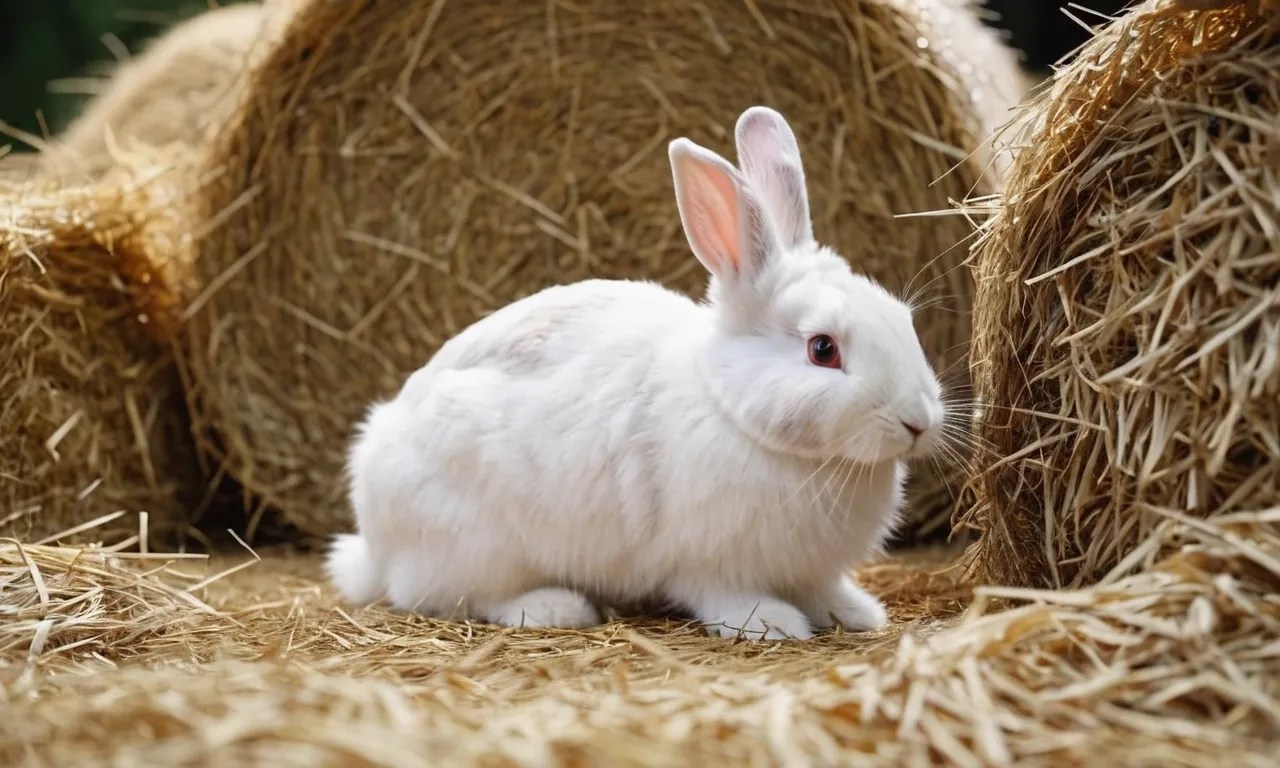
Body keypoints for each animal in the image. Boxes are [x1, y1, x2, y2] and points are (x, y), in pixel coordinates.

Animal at [325, 106, 946, 641]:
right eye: (822, 349)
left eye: (902, 318)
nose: (918, 422)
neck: (735, 413)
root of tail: (375, 544)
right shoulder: (707, 560)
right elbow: (722, 595)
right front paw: (772, 624)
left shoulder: (809, 569)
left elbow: (824, 591)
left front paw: (858, 613)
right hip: (476, 542)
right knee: (454, 595)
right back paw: (555, 607)